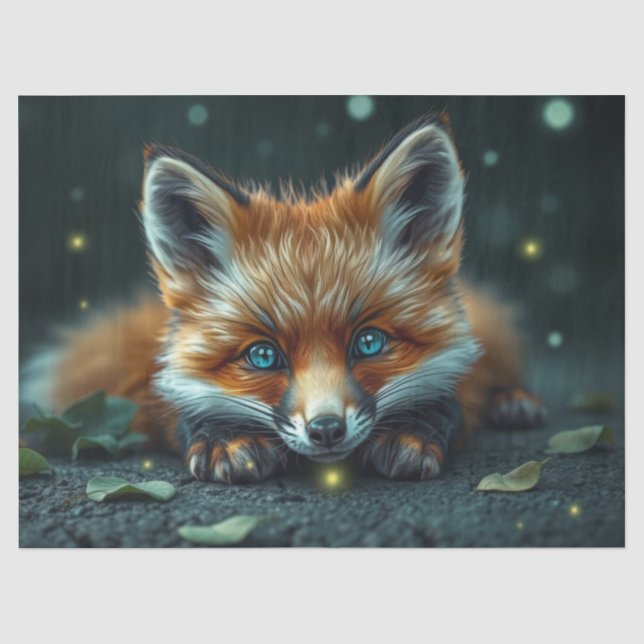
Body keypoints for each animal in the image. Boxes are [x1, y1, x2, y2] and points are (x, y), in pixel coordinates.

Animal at [22, 112, 545, 483]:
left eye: (369, 343)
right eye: (263, 355)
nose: (326, 429)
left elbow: (452, 397)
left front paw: (413, 431)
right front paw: (227, 439)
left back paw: (514, 401)